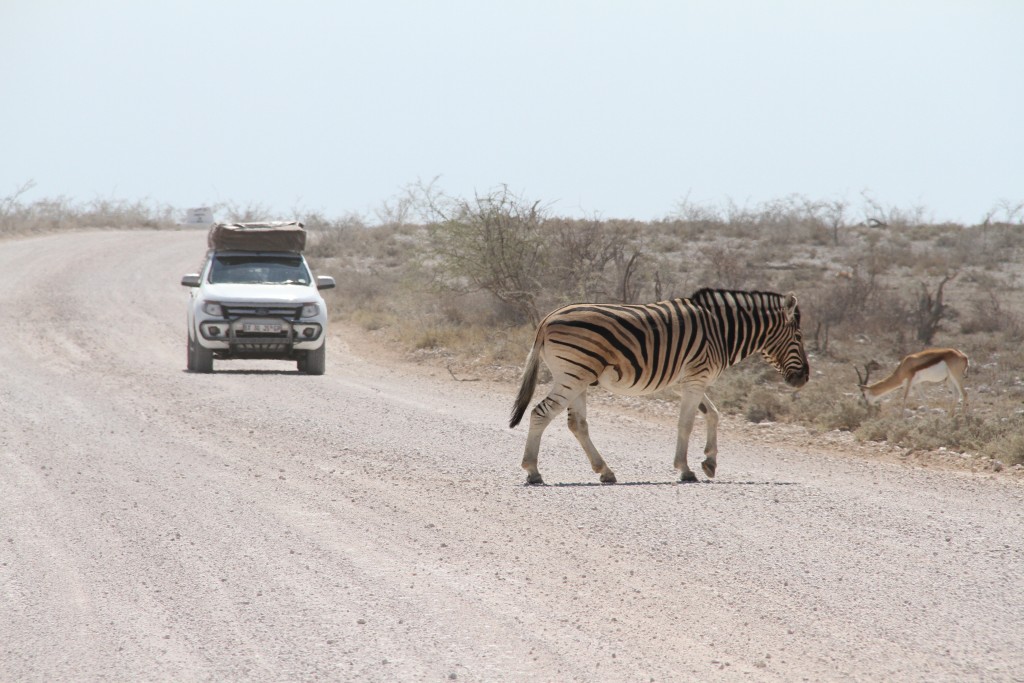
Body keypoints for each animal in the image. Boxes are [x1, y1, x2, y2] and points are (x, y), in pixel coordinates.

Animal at [509, 288, 806, 485]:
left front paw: (709, 462)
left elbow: (713, 414)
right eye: (799, 336)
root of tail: (547, 319)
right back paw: (533, 471)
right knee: (541, 413)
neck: (722, 331)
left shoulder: (687, 380)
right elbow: (686, 423)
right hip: (572, 374)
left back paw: (605, 471)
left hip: (577, 377)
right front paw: (685, 469)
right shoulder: (696, 378)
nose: (803, 378)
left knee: (577, 424)